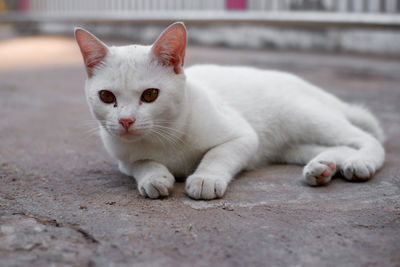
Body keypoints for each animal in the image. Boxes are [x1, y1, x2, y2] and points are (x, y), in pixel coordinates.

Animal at [74, 22, 384, 200]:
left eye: (150, 95)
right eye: (106, 96)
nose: (126, 120)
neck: (164, 135)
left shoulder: (243, 136)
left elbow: (218, 154)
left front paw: (205, 178)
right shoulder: (123, 158)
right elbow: (141, 163)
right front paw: (154, 177)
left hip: (306, 117)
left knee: (367, 140)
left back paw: (359, 163)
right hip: (292, 145)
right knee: (337, 146)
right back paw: (322, 167)